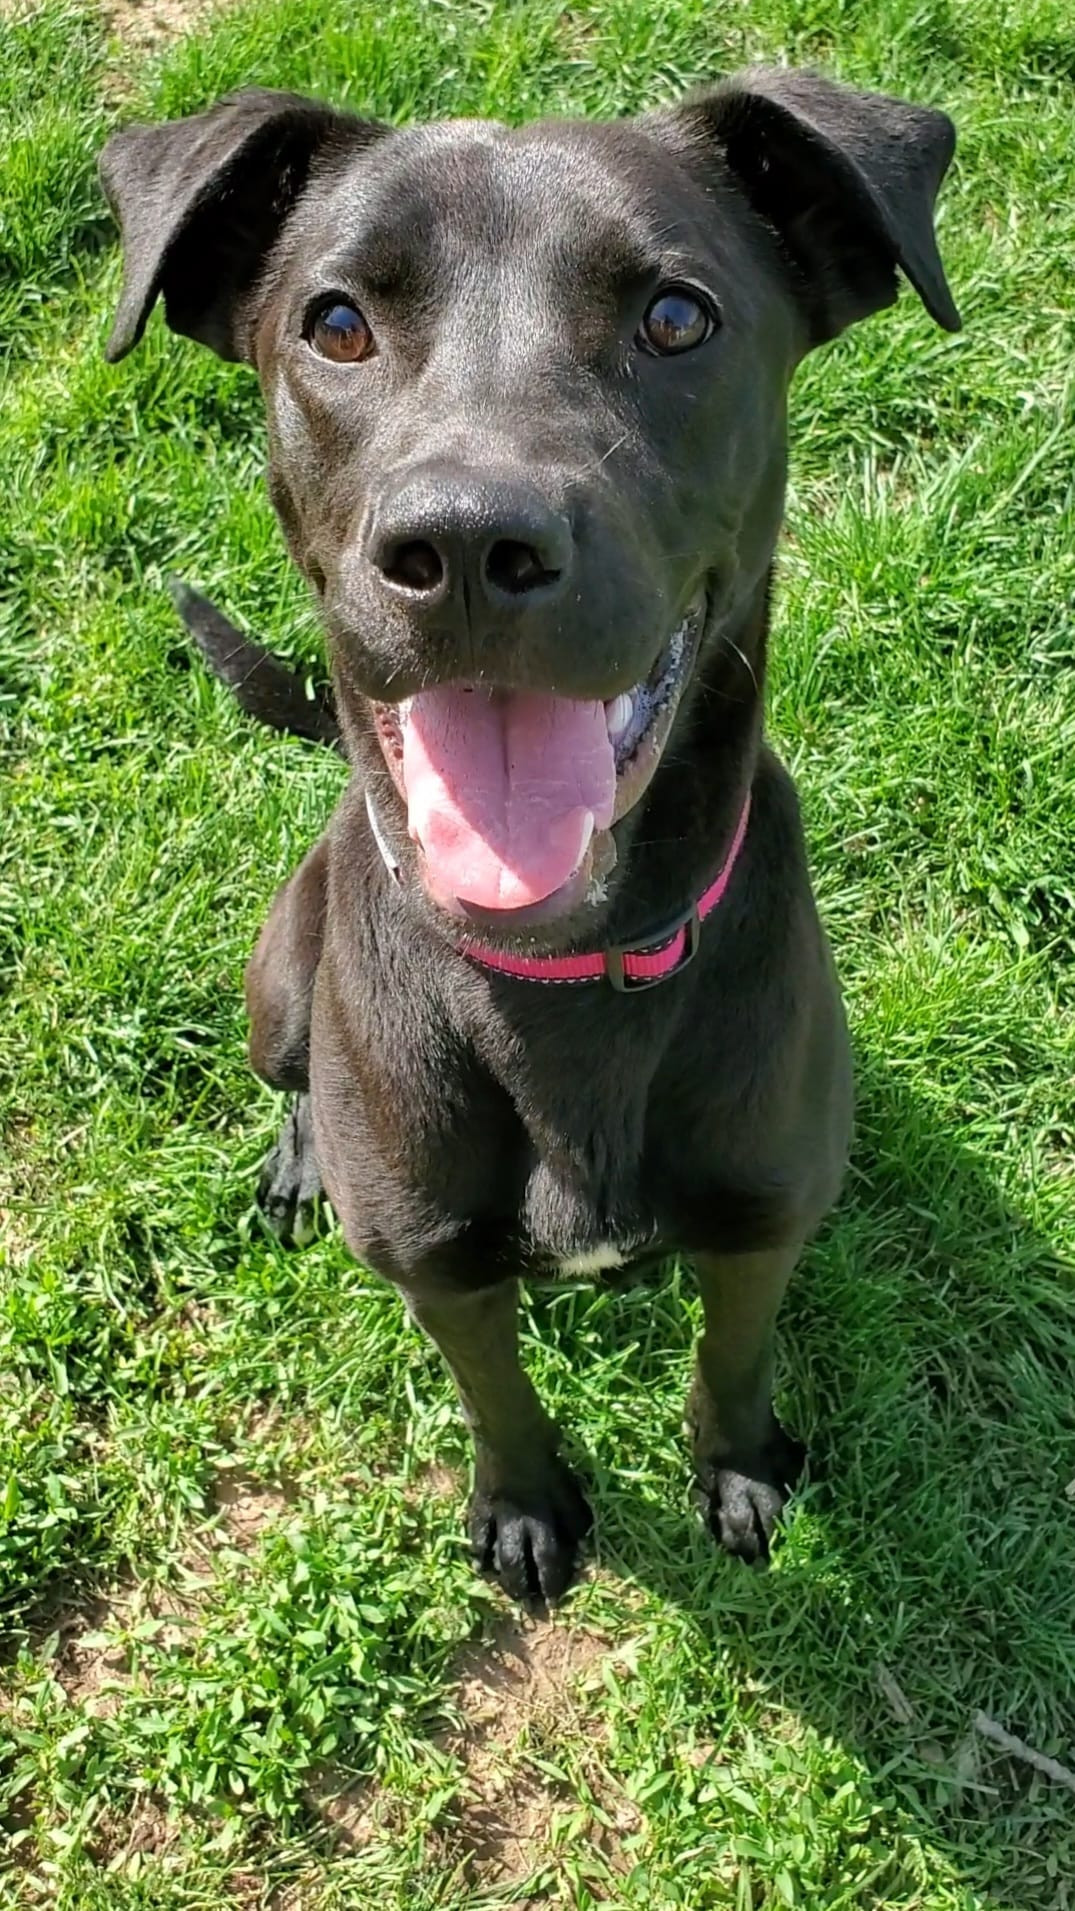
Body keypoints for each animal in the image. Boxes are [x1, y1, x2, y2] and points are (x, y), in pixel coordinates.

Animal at [101, 67, 958, 1597]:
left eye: (675, 317)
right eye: (335, 322)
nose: (463, 545)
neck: (566, 979)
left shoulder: (763, 1219)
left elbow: (732, 1355)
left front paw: (740, 1466)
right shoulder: (440, 1265)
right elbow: (490, 1385)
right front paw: (521, 1502)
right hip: (275, 981)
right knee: (290, 1075)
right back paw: (301, 1157)